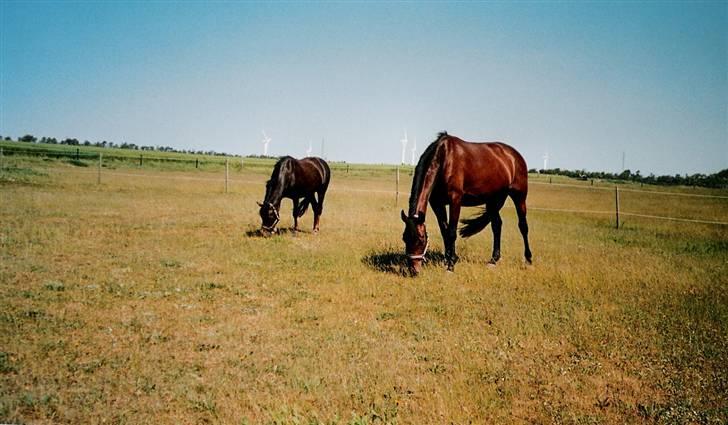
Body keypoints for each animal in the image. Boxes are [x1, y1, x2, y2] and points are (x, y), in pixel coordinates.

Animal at [400, 130, 532, 274]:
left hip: (519, 196)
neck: (444, 158)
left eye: (421, 239)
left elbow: (451, 232)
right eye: (404, 238)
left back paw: (528, 259)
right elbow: (444, 230)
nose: (413, 269)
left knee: (523, 226)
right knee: (497, 226)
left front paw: (451, 265)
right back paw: (493, 260)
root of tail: (514, 155)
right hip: (493, 201)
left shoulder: (455, 200)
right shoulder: (437, 203)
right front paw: (447, 259)